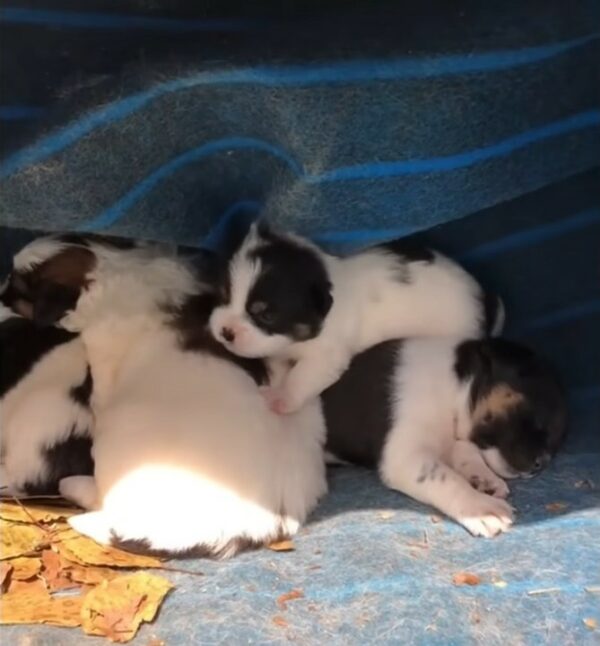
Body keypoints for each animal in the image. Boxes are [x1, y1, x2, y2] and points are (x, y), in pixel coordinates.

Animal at [209, 223, 504, 416]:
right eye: (224, 294)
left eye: (266, 315)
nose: (226, 332)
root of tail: (485, 300)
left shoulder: (326, 357)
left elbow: (301, 377)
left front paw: (283, 398)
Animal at [322, 336, 564, 540]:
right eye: (535, 415)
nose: (540, 464)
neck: (452, 389)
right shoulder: (406, 457)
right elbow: (448, 479)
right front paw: (481, 508)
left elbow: (466, 452)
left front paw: (484, 479)